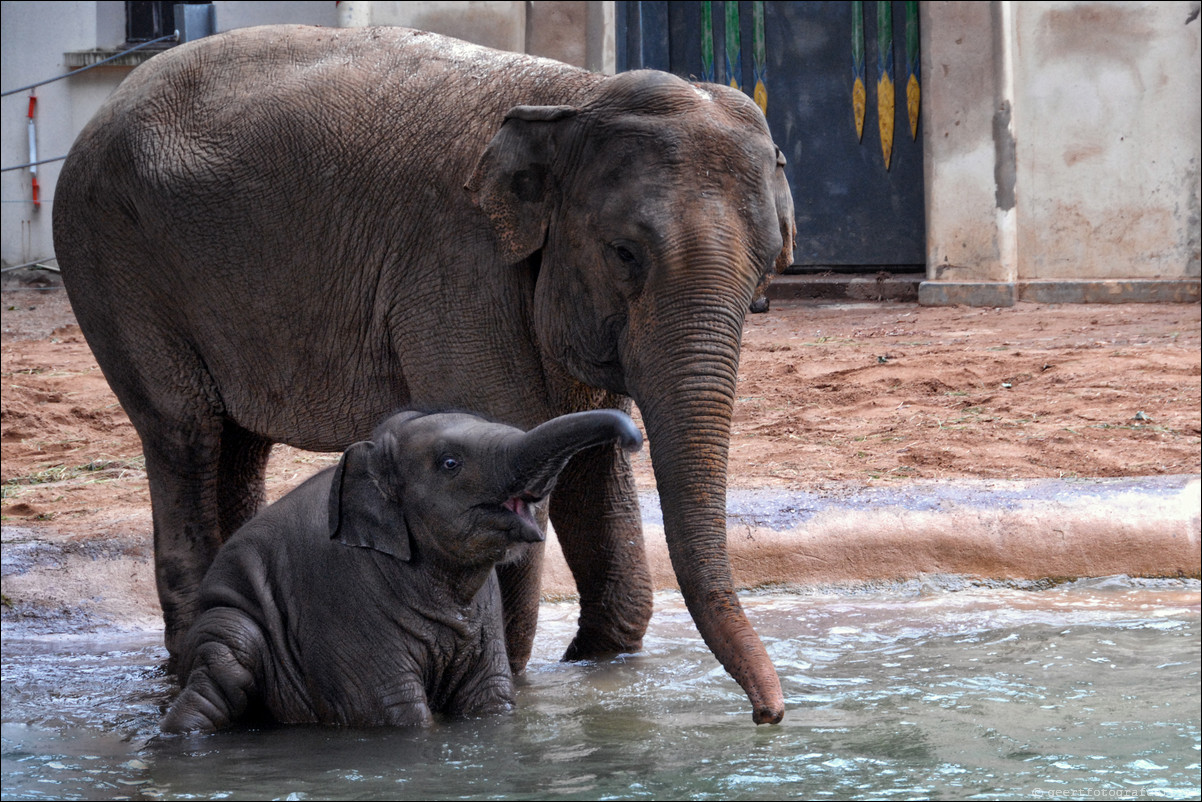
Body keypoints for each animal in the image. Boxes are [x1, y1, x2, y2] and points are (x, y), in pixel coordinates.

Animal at [167, 411, 649, 731]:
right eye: (450, 463)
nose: (633, 440)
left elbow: (490, 698)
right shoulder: (341, 599)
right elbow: (389, 710)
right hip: (226, 624)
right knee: (224, 666)